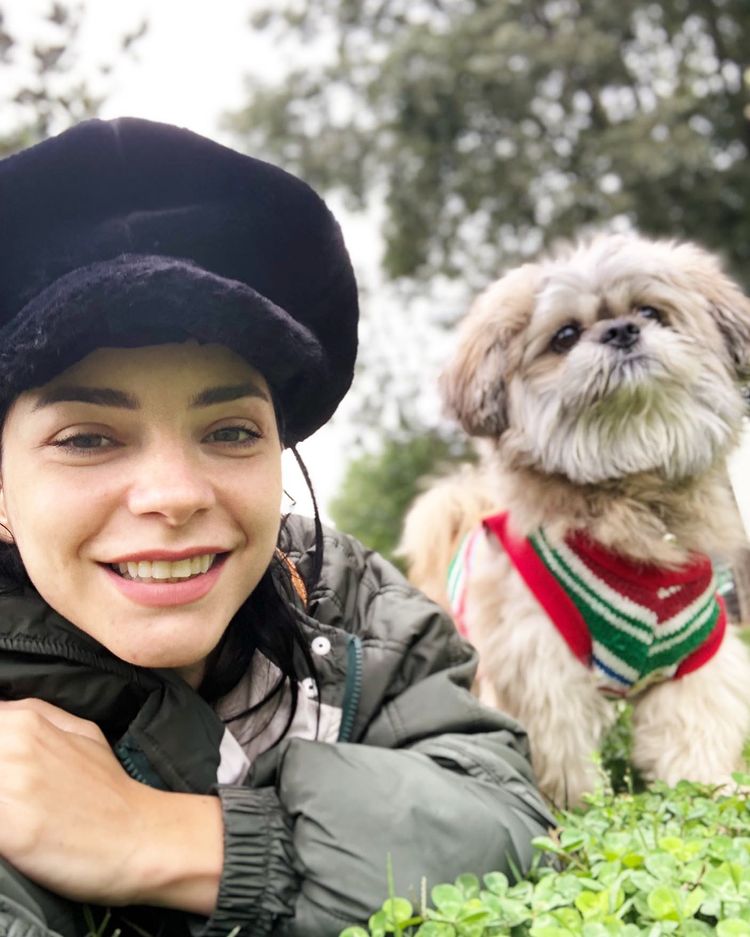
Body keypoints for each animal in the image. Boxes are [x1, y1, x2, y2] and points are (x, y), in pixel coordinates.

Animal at [402, 232, 750, 804]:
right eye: (565, 336)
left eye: (650, 312)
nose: (621, 330)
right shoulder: (541, 667)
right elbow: (564, 757)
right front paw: (574, 809)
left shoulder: (695, 660)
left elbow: (691, 738)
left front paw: (707, 793)